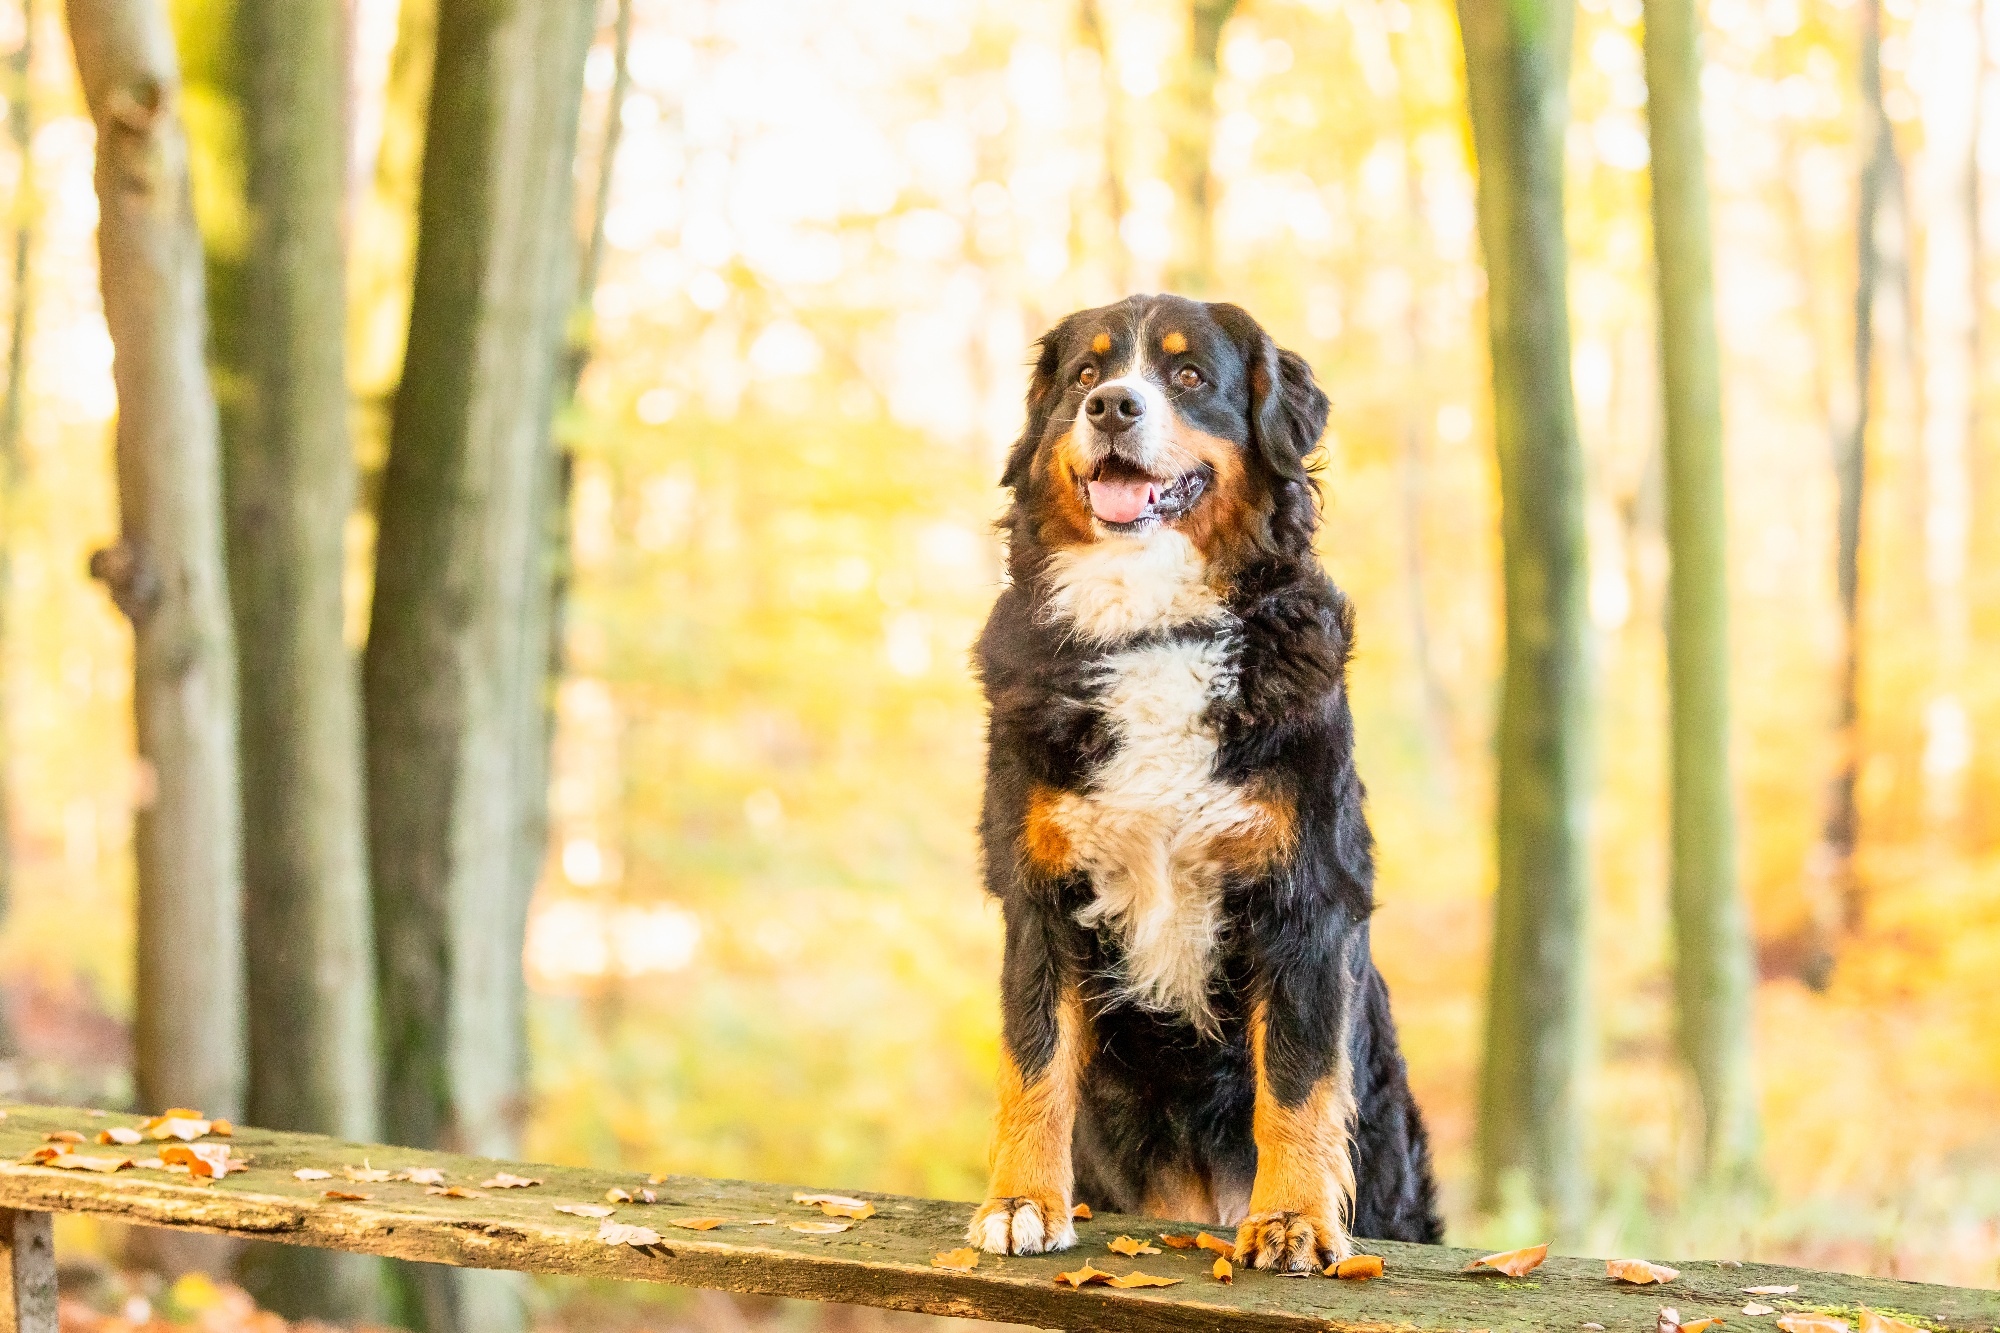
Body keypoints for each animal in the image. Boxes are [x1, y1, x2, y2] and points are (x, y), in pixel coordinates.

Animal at [964, 290, 1440, 1264]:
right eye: (1086, 372)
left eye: (1188, 375)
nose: (1113, 405)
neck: (1154, 629)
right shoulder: (1038, 889)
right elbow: (1034, 1057)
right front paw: (1023, 1200)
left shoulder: (1305, 891)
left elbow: (1296, 1076)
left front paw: (1292, 1218)